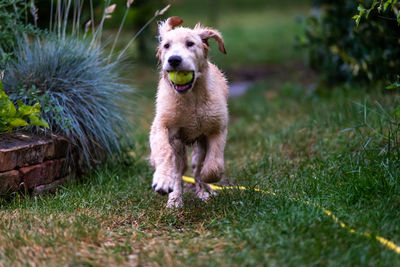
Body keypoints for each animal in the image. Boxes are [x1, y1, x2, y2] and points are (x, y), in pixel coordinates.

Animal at [149, 17, 228, 209]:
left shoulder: (218, 128)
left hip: (199, 145)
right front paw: (163, 179)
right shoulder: (161, 126)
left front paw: (207, 182)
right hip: (178, 146)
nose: (174, 60)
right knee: (178, 172)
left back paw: (204, 192)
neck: (191, 98)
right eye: (166, 46)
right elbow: (163, 151)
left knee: (196, 166)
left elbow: (213, 166)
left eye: (190, 43)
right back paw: (175, 200)